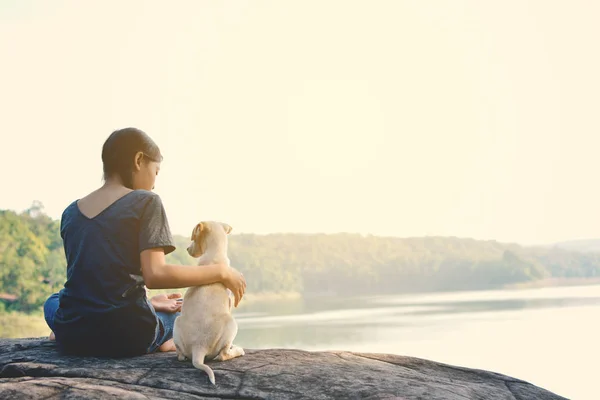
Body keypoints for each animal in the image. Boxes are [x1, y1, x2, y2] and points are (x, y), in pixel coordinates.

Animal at [171, 220, 244, 386]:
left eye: (194, 237)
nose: (187, 249)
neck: (214, 254)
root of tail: (199, 347)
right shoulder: (229, 301)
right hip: (231, 323)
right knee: (222, 355)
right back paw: (237, 350)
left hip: (177, 322)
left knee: (181, 355)